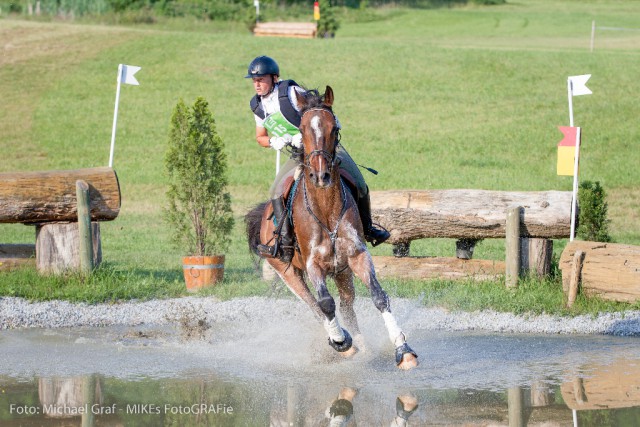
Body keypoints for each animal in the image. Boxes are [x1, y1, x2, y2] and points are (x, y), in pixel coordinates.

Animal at [245, 86, 420, 372]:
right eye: (302, 129)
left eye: (334, 128)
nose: (321, 176)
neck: (326, 211)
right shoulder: (313, 264)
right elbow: (326, 304)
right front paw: (342, 343)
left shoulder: (357, 255)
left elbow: (378, 296)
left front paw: (403, 351)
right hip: (286, 270)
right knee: (315, 306)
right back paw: (342, 343)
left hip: (341, 271)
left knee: (347, 306)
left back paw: (361, 345)